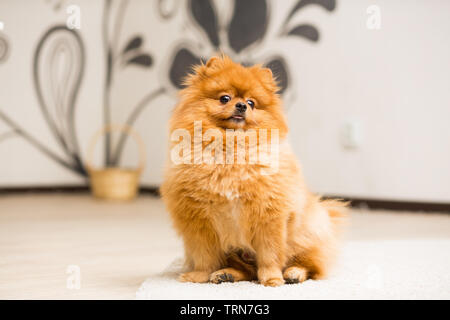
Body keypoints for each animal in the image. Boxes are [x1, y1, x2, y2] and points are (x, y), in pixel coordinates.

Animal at [160, 55, 346, 288]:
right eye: (225, 98)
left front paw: (272, 279)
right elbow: (204, 257)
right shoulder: (198, 222)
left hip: (303, 236)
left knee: (309, 265)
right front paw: (198, 277)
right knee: (247, 271)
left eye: (251, 103)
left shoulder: (268, 216)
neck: (231, 149)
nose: (241, 105)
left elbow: (270, 255)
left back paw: (294, 273)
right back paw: (226, 274)